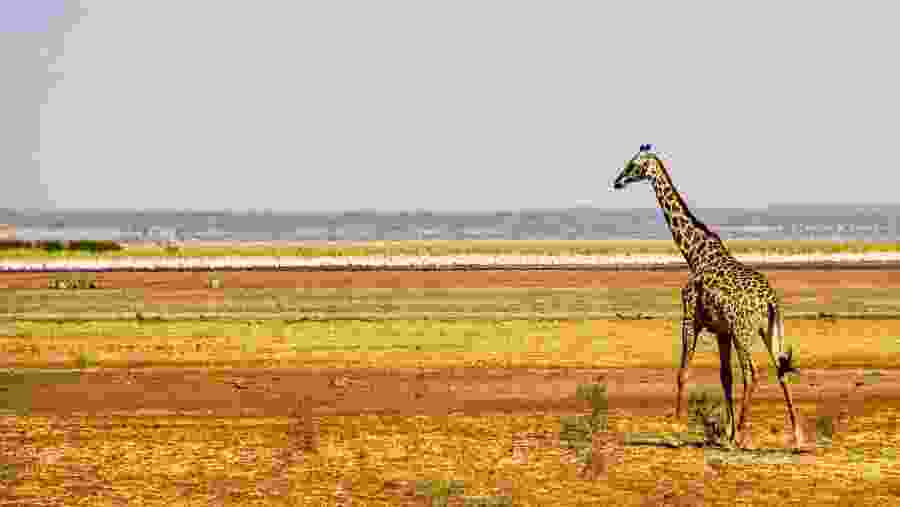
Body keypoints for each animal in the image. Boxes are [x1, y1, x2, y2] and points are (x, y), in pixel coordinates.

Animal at [611, 144, 807, 451]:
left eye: (633, 164)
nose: (617, 181)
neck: (695, 254)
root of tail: (769, 301)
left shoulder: (690, 319)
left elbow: (683, 373)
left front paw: (675, 430)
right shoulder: (721, 331)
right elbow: (725, 377)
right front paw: (725, 432)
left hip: (744, 331)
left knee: (753, 373)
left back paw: (742, 436)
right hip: (768, 330)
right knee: (780, 370)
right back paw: (796, 437)